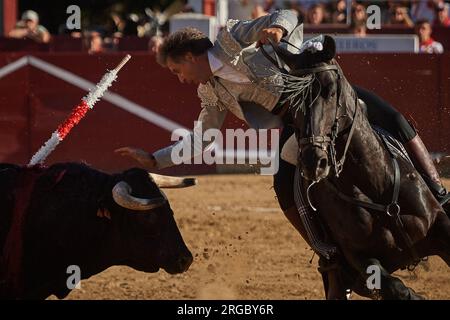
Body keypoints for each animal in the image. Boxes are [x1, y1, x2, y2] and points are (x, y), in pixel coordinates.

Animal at [270, 37, 450, 300]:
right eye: (293, 99)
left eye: (331, 90)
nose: (314, 161)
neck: (374, 183)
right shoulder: (360, 261)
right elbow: (397, 288)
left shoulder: (440, 225)